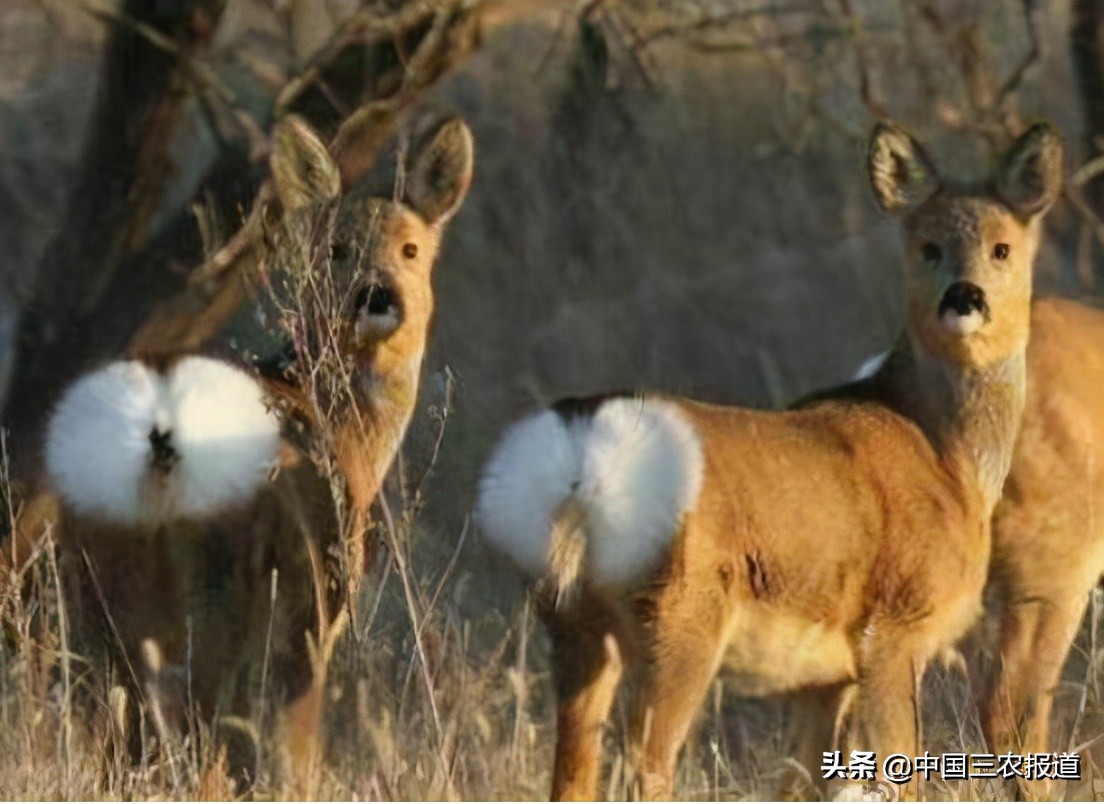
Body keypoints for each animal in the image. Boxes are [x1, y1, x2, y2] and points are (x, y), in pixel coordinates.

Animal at [36, 111, 476, 786]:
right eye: (335, 248)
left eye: (411, 249)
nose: (378, 296)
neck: (347, 437)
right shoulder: (313, 608)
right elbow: (290, 749)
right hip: (218, 593)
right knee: (197, 737)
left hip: (96, 592)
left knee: (122, 738)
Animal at [472, 122, 1059, 799]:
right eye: (927, 246)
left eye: (1002, 248)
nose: (965, 297)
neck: (947, 455)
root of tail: (577, 441)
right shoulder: (894, 629)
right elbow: (900, 771)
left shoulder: (824, 676)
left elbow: (799, 779)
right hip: (681, 614)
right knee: (646, 761)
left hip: (572, 620)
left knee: (572, 768)